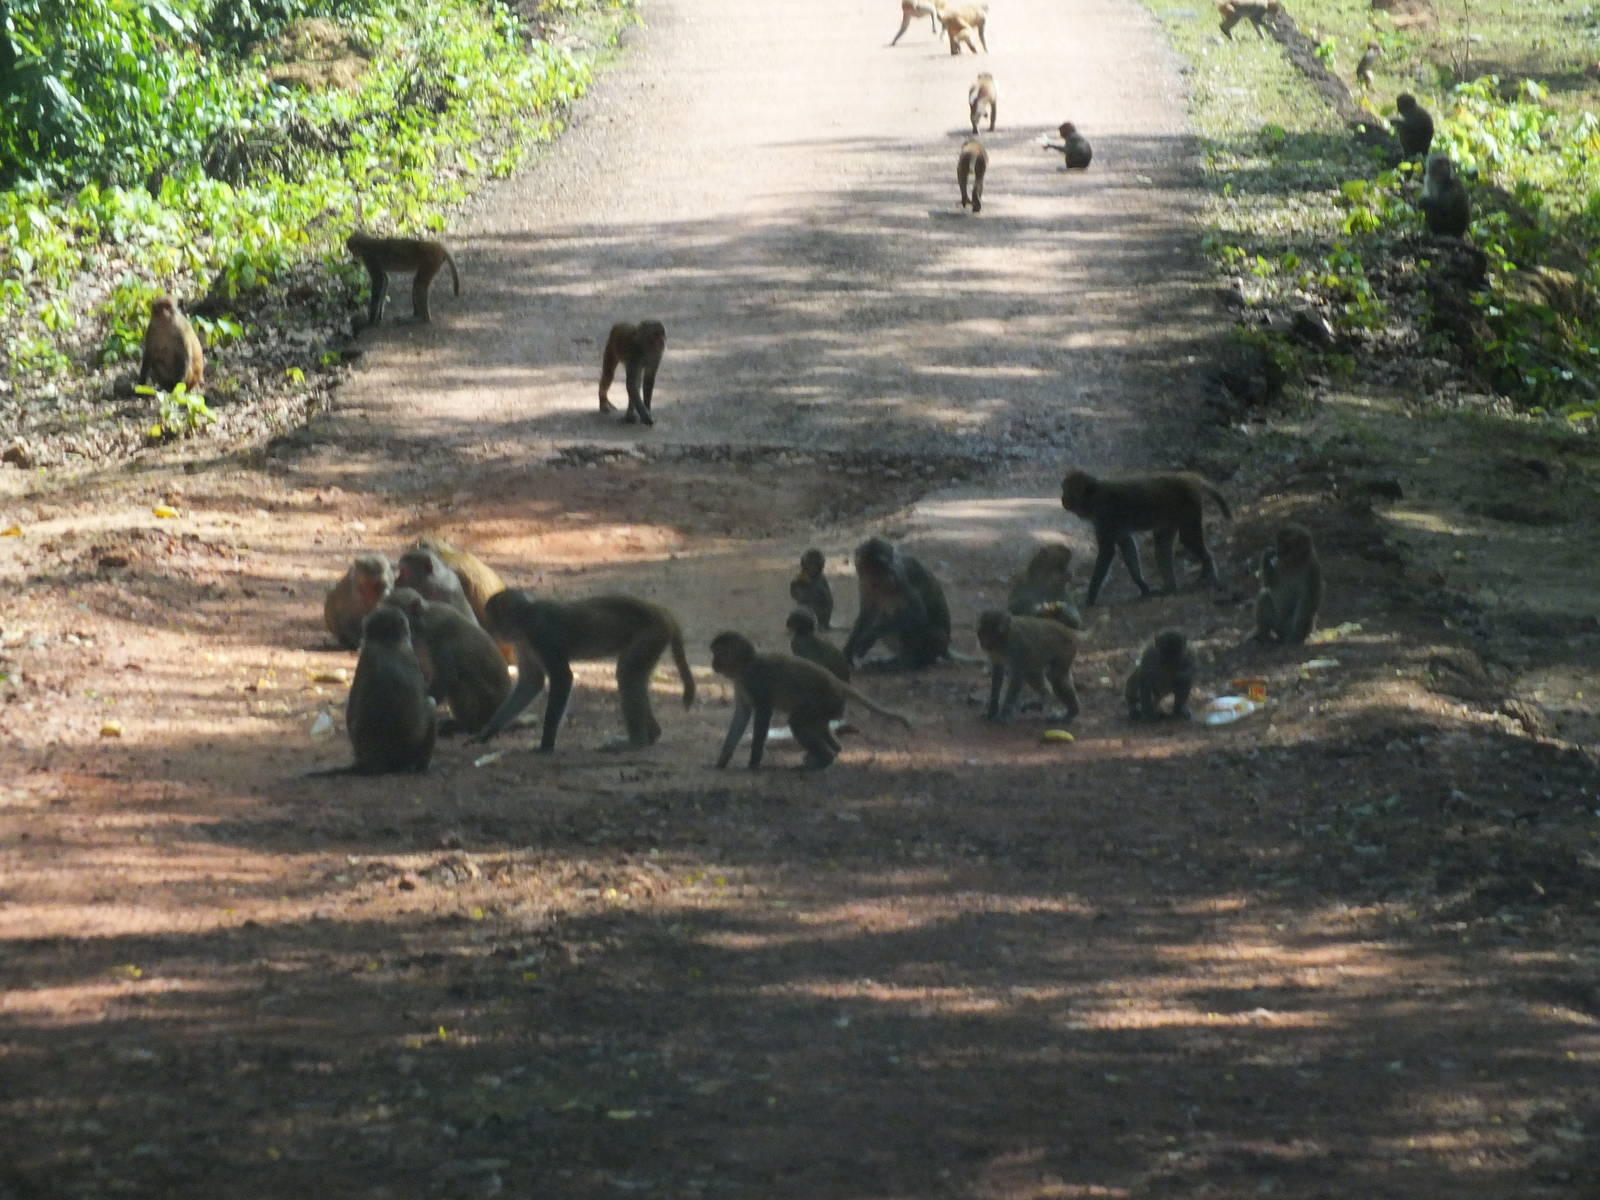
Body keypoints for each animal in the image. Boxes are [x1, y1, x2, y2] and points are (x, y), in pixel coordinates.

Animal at [383, 587, 511, 735]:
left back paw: (470, 726)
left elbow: (444, 679)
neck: (423, 622)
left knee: (459, 683)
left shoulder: (442, 638)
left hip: (487, 708)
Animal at [475, 589, 695, 751]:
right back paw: (652, 735)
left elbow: (562, 677)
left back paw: (637, 741)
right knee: (631, 675)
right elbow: (531, 681)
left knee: (627, 675)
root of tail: (661, 612)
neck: (524, 619)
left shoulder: (540, 634)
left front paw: (546, 745)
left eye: (490, 617)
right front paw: (488, 731)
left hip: (651, 634)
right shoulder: (523, 643)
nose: (489, 630)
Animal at [710, 631, 909, 770]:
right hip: (830, 707)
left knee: (797, 722)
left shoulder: (754, 680)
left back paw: (825, 758)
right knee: (816, 725)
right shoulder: (740, 683)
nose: (712, 663)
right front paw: (722, 761)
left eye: (717, 653)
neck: (745, 666)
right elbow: (742, 715)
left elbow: (763, 714)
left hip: (826, 701)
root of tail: (837, 682)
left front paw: (753, 763)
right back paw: (832, 750)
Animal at [843, 536, 954, 671]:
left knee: (909, 626)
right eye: (882, 566)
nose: (891, 572)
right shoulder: (864, 584)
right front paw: (849, 647)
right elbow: (867, 614)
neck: (878, 586)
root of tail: (945, 648)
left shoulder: (902, 579)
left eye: (888, 564)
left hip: (937, 641)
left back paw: (912, 663)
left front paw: (870, 636)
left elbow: (918, 615)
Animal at [1060, 468, 1233, 605]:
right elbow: (1127, 546)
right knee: (1162, 546)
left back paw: (1208, 572)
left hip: (1189, 505)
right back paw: (1169, 588)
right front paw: (1142, 586)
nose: (1062, 499)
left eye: (1067, 490)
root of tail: (1188, 478)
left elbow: (1107, 552)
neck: (1093, 495)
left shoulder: (1104, 514)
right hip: (1170, 517)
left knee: (1188, 538)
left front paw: (1090, 598)